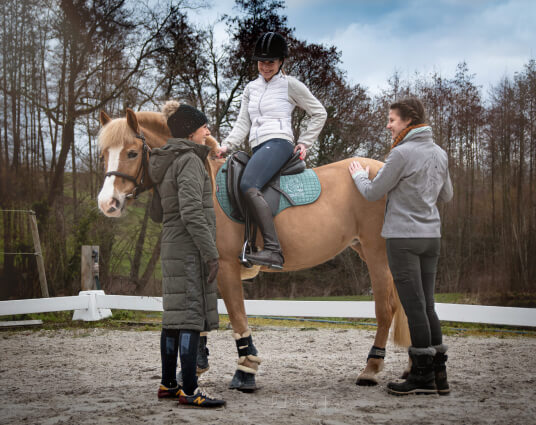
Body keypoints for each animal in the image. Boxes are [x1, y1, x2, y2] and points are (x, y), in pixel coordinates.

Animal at [96, 107, 408, 390]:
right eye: (103, 155)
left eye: (132, 153)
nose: (107, 203)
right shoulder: (206, 262)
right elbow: (205, 316)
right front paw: (198, 366)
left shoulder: (225, 266)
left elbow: (237, 316)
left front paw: (245, 369)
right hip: (366, 250)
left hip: (377, 253)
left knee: (386, 308)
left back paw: (371, 369)